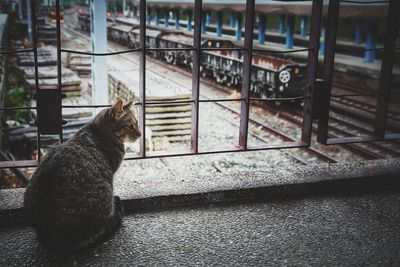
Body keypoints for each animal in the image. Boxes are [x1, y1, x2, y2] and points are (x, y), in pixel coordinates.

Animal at [23, 100, 141, 253]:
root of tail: (48, 236)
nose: (140, 134)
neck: (96, 130)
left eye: (137, 124)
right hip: (105, 192)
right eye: (130, 126)